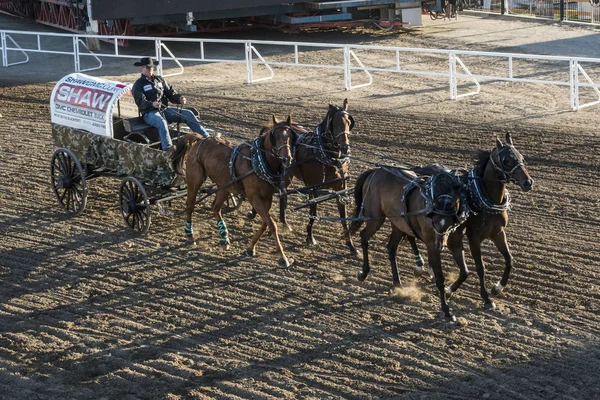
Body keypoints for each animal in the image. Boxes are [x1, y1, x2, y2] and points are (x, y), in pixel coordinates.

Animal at [170, 114, 296, 268]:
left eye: (290, 135)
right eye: (276, 136)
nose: (287, 159)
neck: (258, 161)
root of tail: (201, 139)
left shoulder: (267, 197)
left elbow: (266, 223)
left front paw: (250, 248)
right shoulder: (254, 197)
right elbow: (272, 224)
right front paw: (283, 258)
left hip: (224, 186)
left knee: (215, 207)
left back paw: (224, 238)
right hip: (194, 181)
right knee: (190, 205)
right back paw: (190, 234)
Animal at [288, 99, 356, 253]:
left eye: (349, 122)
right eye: (335, 124)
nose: (345, 149)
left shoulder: (340, 189)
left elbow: (344, 217)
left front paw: (351, 245)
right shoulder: (313, 189)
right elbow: (313, 213)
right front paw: (310, 237)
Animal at [346, 165, 468, 318]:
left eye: (451, 221)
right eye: (433, 220)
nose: (440, 245)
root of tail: (375, 171)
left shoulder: (455, 242)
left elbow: (465, 271)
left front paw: (448, 293)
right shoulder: (431, 245)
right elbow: (440, 278)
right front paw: (446, 309)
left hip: (398, 223)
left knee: (391, 249)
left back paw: (397, 283)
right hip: (375, 218)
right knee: (364, 237)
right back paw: (363, 273)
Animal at [408, 133, 536, 310]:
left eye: (521, 157)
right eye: (506, 160)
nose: (528, 183)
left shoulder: (498, 232)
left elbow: (509, 259)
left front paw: (497, 288)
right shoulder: (473, 237)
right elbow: (480, 267)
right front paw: (486, 298)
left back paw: (428, 269)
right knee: (410, 235)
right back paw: (419, 266)